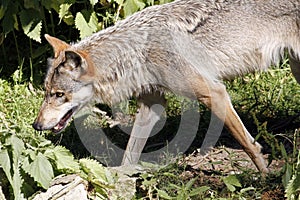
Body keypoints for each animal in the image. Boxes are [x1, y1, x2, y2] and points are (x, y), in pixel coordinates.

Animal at [32, 0, 300, 173]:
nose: (36, 125)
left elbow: (247, 143)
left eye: (59, 95)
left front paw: (264, 176)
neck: (136, 51)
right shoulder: (153, 104)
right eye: (46, 93)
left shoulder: (213, 93)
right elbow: (130, 152)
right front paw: (120, 179)